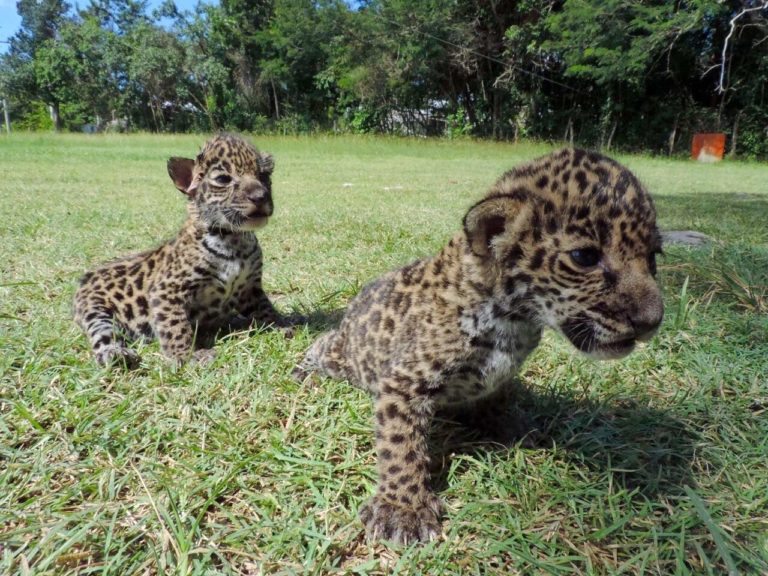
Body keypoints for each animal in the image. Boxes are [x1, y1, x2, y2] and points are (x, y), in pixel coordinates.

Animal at [74, 133, 289, 368]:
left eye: (264, 175)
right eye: (223, 179)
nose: (260, 196)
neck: (234, 240)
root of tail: (87, 276)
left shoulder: (250, 289)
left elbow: (265, 308)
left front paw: (282, 324)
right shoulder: (167, 290)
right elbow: (175, 326)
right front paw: (186, 355)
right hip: (96, 311)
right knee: (103, 336)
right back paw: (117, 354)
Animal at [295, 148, 664, 545]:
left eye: (653, 257)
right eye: (585, 258)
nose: (652, 321)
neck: (513, 321)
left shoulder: (498, 375)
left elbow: (497, 398)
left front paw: (514, 424)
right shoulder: (403, 381)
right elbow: (401, 445)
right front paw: (403, 508)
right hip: (345, 352)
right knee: (324, 342)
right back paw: (305, 372)